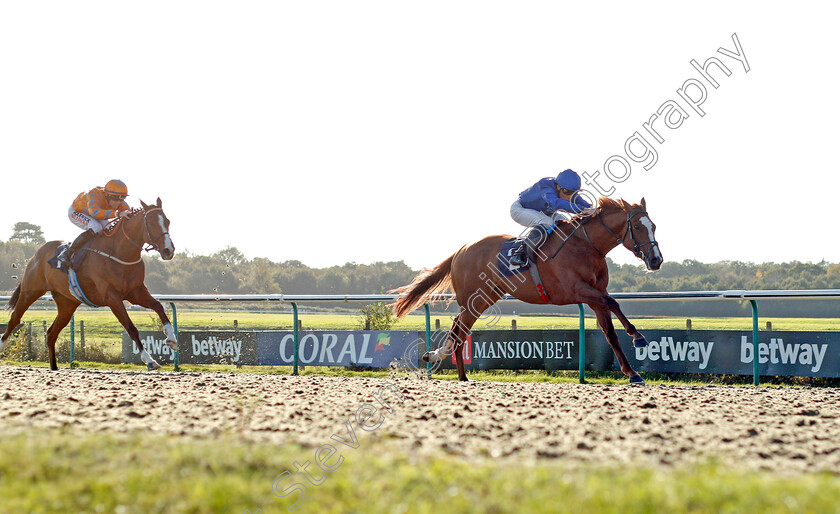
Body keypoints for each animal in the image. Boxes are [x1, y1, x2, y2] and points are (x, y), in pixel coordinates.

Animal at [1, 196, 176, 368]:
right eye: (151, 223)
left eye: (167, 221)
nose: (168, 250)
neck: (119, 253)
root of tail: (37, 254)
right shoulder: (112, 297)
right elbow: (131, 328)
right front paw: (149, 360)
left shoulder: (136, 292)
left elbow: (158, 306)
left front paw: (171, 338)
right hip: (30, 292)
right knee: (15, 319)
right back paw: (2, 347)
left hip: (67, 303)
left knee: (51, 333)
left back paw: (54, 367)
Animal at [394, 198, 664, 382]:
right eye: (638, 227)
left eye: (654, 226)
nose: (656, 260)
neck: (586, 246)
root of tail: (462, 250)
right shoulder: (577, 290)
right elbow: (614, 303)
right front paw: (638, 337)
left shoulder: (595, 295)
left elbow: (610, 332)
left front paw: (632, 371)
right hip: (473, 298)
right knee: (459, 329)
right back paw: (455, 370)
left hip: (483, 298)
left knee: (458, 327)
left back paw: (453, 368)